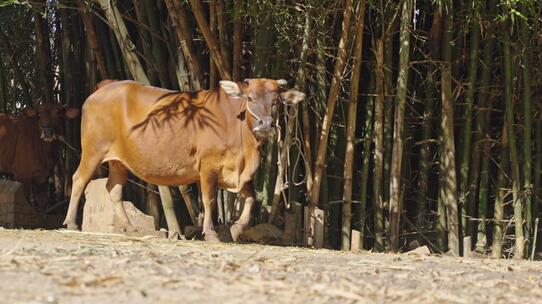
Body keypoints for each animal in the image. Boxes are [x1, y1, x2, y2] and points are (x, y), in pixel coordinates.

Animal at [62, 79, 306, 242]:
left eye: (276, 101)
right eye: (250, 98)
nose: (265, 124)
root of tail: (106, 85)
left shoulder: (239, 173)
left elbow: (251, 199)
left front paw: (236, 229)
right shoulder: (208, 167)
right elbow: (209, 200)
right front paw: (211, 233)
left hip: (118, 161)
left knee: (114, 189)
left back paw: (131, 228)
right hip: (93, 150)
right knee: (79, 179)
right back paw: (72, 223)